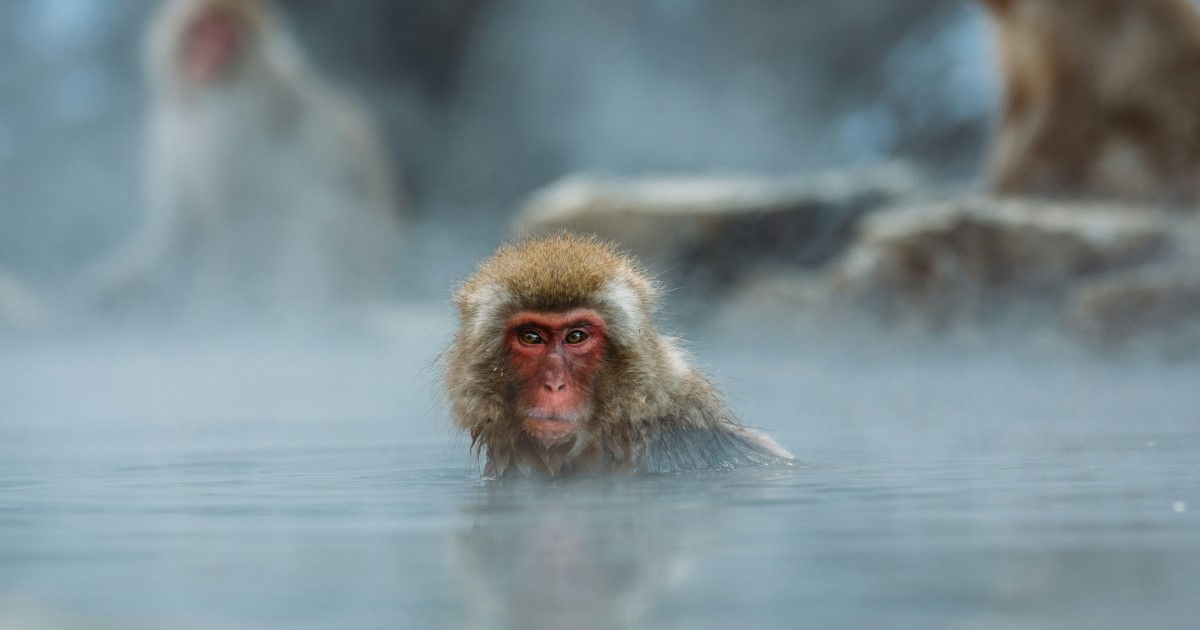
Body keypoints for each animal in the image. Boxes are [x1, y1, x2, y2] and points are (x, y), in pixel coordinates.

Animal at [88, 0, 405, 319]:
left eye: (227, 40)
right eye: (202, 31)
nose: (207, 57)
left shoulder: (232, 126)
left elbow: (238, 224)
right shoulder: (169, 128)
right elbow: (182, 232)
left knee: (316, 214)